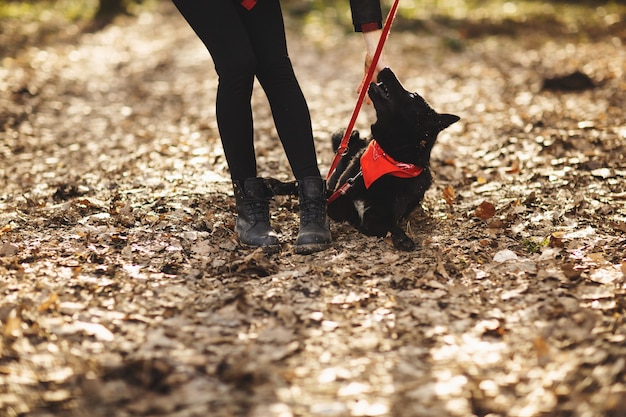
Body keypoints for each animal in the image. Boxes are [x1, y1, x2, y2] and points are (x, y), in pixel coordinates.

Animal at [326, 68, 458, 250]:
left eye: (413, 96)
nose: (386, 68)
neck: (389, 158)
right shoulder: (339, 202)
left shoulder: (377, 217)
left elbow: (391, 227)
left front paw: (403, 238)